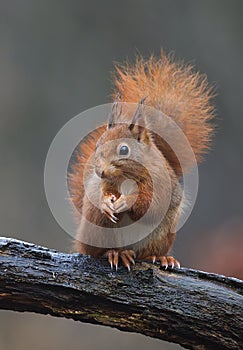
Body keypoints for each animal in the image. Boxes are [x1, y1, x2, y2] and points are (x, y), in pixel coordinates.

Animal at [68, 51, 215, 270]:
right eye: (97, 145)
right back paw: (115, 253)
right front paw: (106, 201)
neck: (126, 176)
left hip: (161, 234)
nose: (100, 172)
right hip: (98, 228)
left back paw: (160, 257)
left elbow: (152, 205)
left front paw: (126, 201)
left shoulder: (161, 183)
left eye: (124, 149)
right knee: (95, 251)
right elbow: (104, 192)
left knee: (146, 253)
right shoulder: (106, 184)